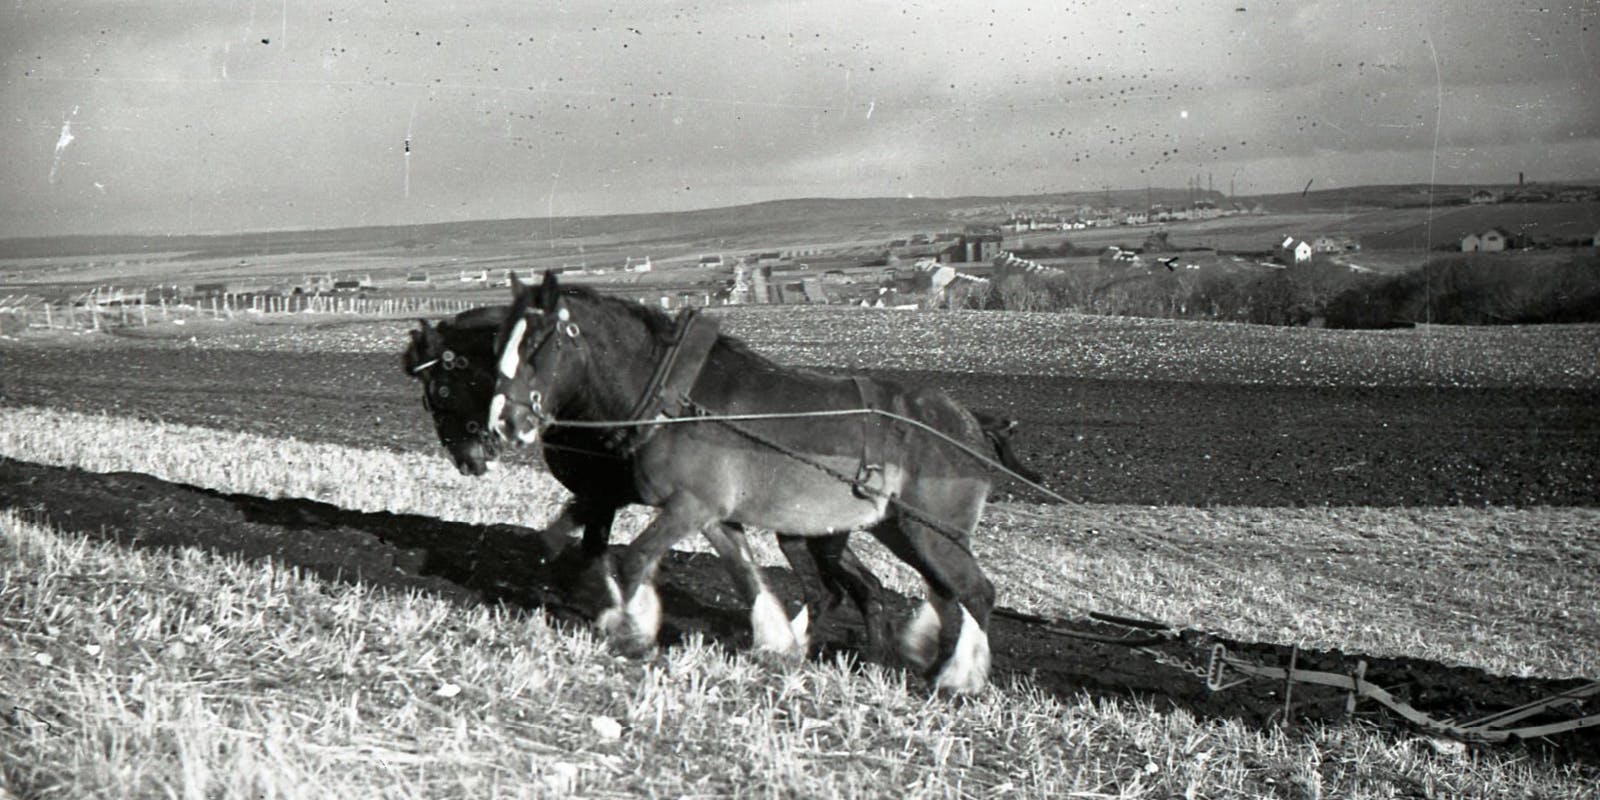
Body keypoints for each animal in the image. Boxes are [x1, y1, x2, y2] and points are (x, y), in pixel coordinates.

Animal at [403, 306, 891, 657]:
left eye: (440, 389)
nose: (468, 461)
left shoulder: (607, 494)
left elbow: (595, 550)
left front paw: (622, 611)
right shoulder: (604, 495)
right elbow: (568, 537)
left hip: (808, 533)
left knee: (836, 588)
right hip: (815, 535)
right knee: (862, 586)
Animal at [488, 271, 1021, 694]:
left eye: (536, 345)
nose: (503, 422)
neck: (674, 398)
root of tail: (972, 424)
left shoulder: (688, 505)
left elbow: (634, 558)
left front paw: (631, 629)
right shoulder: (715, 515)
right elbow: (747, 577)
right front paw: (777, 643)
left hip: (931, 531)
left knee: (976, 593)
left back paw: (959, 677)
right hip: (897, 529)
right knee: (936, 592)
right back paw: (907, 659)